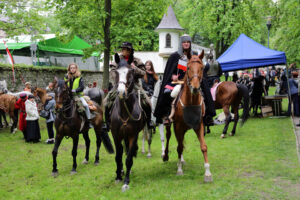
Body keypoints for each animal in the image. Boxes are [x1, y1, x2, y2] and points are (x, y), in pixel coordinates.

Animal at [162, 52, 213, 183]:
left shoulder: (199, 125)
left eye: (201, 68)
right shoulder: (178, 126)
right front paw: (179, 170)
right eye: (188, 68)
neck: (190, 102)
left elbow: (203, 147)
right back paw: (166, 156)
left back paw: (181, 160)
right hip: (172, 126)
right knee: (169, 137)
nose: (195, 87)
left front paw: (208, 173)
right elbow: (179, 147)